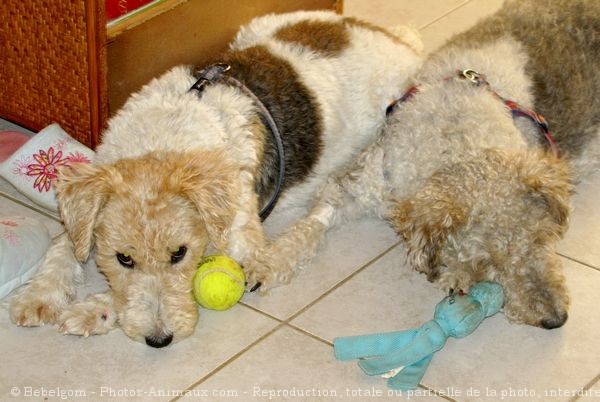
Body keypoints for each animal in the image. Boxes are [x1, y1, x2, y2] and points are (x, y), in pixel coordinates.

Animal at [8, 11, 422, 348]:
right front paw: (37, 297)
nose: (160, 339)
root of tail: (400, 43)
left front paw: (91, 311)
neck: (165, 140)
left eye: (179, 253)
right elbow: (64, 244)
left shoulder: (240, 240)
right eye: (123, 257)